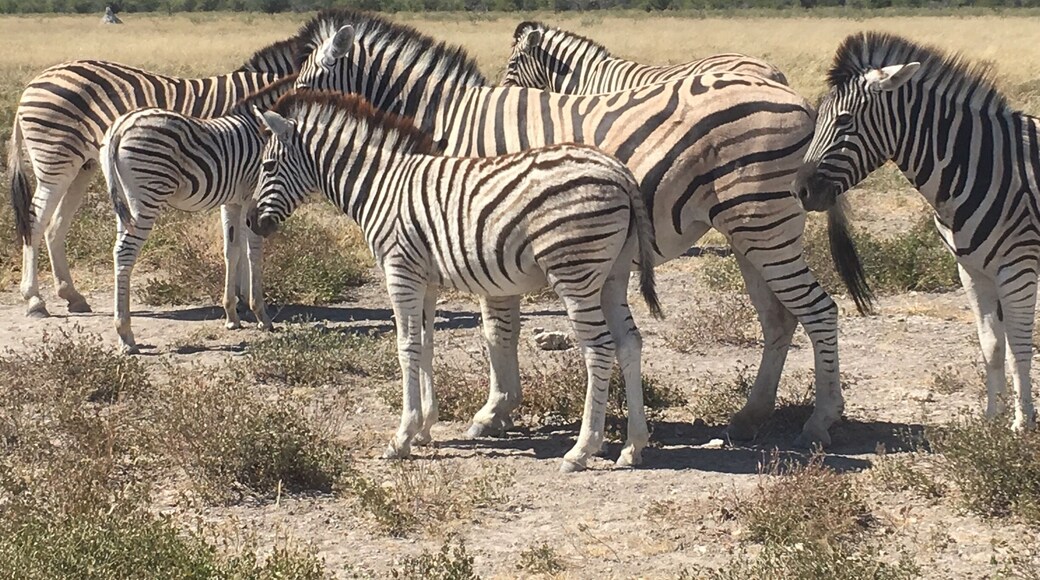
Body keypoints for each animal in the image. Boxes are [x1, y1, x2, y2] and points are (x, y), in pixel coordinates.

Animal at [7, 37, 302, 320]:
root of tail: (34, 83)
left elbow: (237, 240)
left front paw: (240, 299)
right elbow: (242, 241)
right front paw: (243, 301)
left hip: (82, 167)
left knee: (55, 225)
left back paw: (72, 296)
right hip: (55, 162)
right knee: (35, 221)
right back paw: (35, 300)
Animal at [99, 76, 298, 354]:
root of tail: (120, 126)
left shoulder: (232, 202)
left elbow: (232, 250)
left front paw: (233, 315)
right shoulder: (252, 197)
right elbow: (253, 252)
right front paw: (261, 315)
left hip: (125, 204)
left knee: (118, 251)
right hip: (147, 195)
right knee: (124, 252)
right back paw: (126, 335)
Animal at [249, 92, 662, 472]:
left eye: (267, 166)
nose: (252, 222)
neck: (381, 184)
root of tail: (618, 171)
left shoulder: (400, 272)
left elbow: (406, 348)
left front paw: (401, 437)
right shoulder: (425, 279)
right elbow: (426, 345)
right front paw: (424, 427)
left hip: (574, 271)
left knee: (599, 349)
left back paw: (582, 449)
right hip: (612, 275)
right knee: (629, 343)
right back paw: (633, 445)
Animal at [794, 31, 1039, 432]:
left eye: (844, 121)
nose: (799, 190)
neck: (977, 165)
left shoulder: (1017, 267)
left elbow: (1019, 344)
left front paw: (1022, 425)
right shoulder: (971, 270)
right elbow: (991, 344)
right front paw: (992, 420)